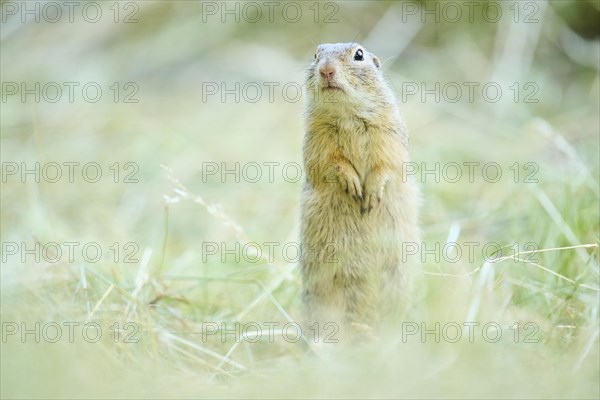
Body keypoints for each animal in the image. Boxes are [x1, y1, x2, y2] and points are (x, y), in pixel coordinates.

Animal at [300, 42, 422, 340]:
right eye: (316, 55)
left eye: (359, 55)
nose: (326, 70)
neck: (346, 115)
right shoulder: (317, 137)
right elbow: (328, 162)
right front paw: (352, 185)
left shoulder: (388, 132)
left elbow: (387, 162)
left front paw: (371, 194)